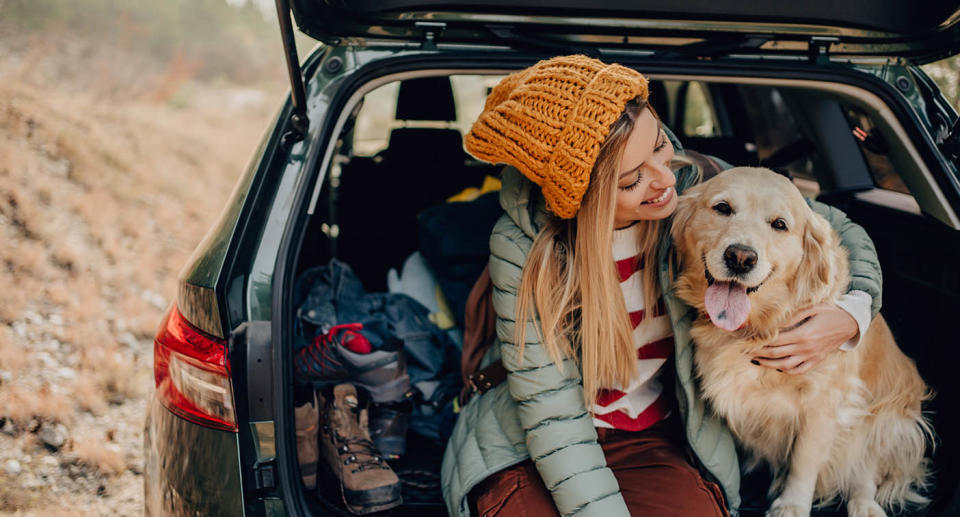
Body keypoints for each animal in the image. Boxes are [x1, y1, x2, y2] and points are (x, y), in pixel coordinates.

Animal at [672, 167, 932, 512]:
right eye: (722, 208)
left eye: (780, 224)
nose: (740, 257)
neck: (761, 325)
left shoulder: (825, 403)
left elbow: (804, 462)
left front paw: (791, 506)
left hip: (886, 417)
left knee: (865, 469)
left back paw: (865, 505)